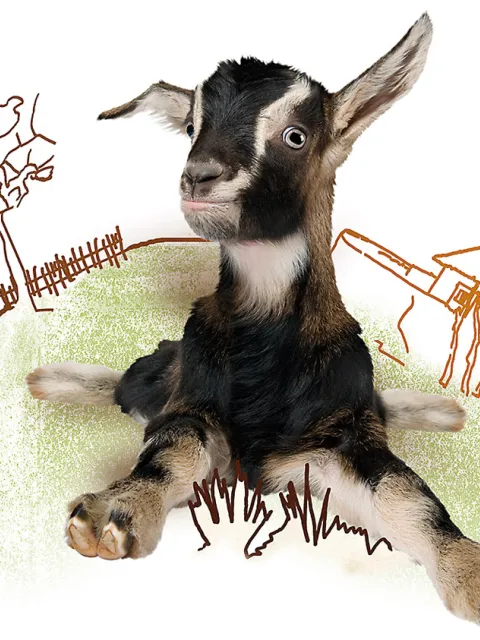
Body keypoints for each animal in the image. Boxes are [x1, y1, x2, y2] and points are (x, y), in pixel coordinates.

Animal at [26, 13, 480, 624]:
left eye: (296, 135)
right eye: (191, 125)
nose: (199, 176)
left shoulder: (340, 439)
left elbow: (411, 500)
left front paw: (469, 570)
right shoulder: (193, 407)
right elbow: (169, 452)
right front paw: (112, 514)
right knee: (130, 381)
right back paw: (52, 378)